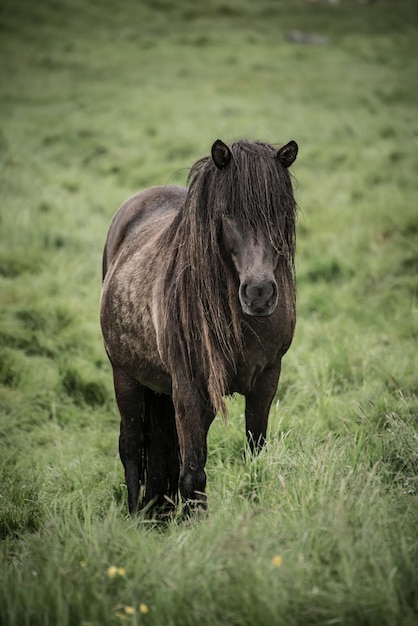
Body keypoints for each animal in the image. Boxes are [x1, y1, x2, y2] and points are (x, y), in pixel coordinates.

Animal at [100, 136, 298, 512]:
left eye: (279, 211)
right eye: (226, 213)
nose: (259, 293)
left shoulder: (267, 379)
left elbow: (256, 456)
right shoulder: (190, 389)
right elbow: (193, 475)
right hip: (125, 376)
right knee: (131, 447)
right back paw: (134, 515)